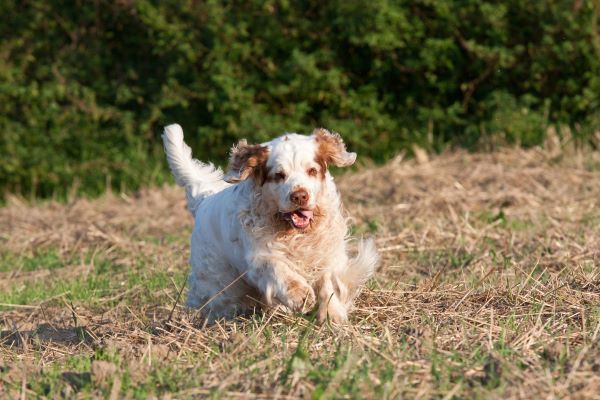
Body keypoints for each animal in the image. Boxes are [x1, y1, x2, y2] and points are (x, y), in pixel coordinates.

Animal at [162, 123, 378, 324]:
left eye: (312, 171)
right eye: (279, 175)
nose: (300, 196)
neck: (295, 233)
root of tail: (204, 199)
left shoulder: (325, 253)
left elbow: (328, 284)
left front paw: (332, 316)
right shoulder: (258, 257)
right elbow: (277, 268)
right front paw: (300, 295)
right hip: (219, 283)